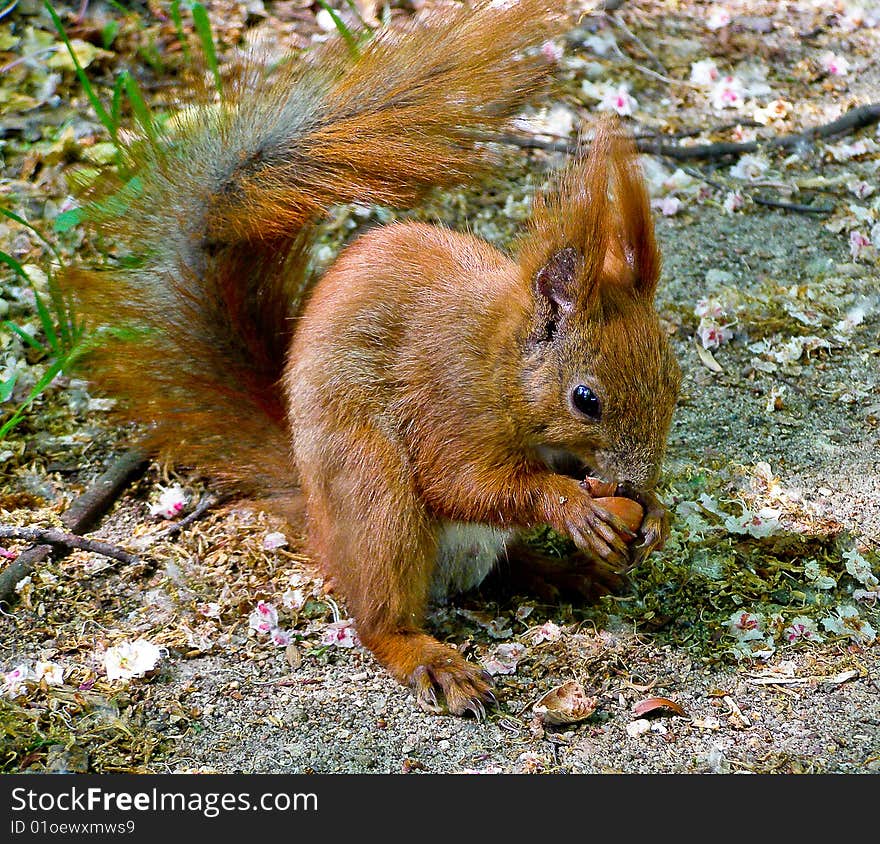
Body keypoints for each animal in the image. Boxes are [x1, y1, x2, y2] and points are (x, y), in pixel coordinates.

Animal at [62, 0, 680, 716]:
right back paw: (430, 657)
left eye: (675, 385)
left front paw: (654, 516)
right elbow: (461, 482)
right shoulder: (450, 402)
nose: (634, 485)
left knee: (503, 567)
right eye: (586, 400)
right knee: (380, 615)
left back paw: (562, 571)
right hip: (374, 494)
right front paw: (574, 506)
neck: (503, 363)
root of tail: (318, 520)